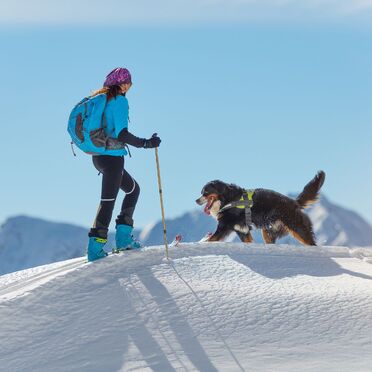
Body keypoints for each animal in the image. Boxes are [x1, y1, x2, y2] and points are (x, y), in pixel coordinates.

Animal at [196, 170, 324, 246]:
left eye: (206, 192)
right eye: (201, 192)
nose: (196, 201)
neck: (227, 200)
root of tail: (294, 202)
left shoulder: (224, 226)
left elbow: (211, 238)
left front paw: (202, 241)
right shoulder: (242, 231)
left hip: (297, 227)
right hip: (268, 231)